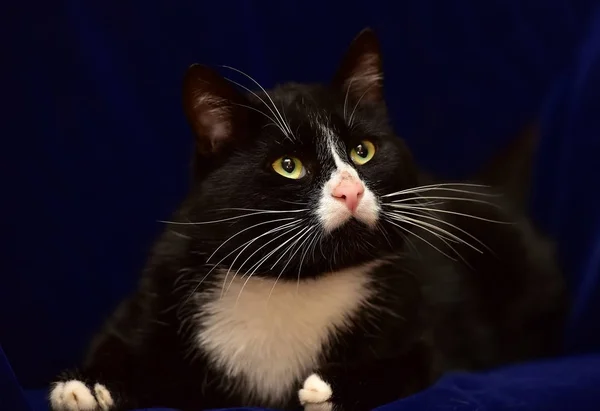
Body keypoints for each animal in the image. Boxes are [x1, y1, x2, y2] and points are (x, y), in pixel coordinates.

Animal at [48, 29, 568, 411]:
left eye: (363, 151)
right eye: (289, 165)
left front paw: (331, 388)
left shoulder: (421, 313)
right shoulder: (158, 288)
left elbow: (419, 362)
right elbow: (120, 340)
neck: (295, 282)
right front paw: (87, 385)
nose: (350, 190)